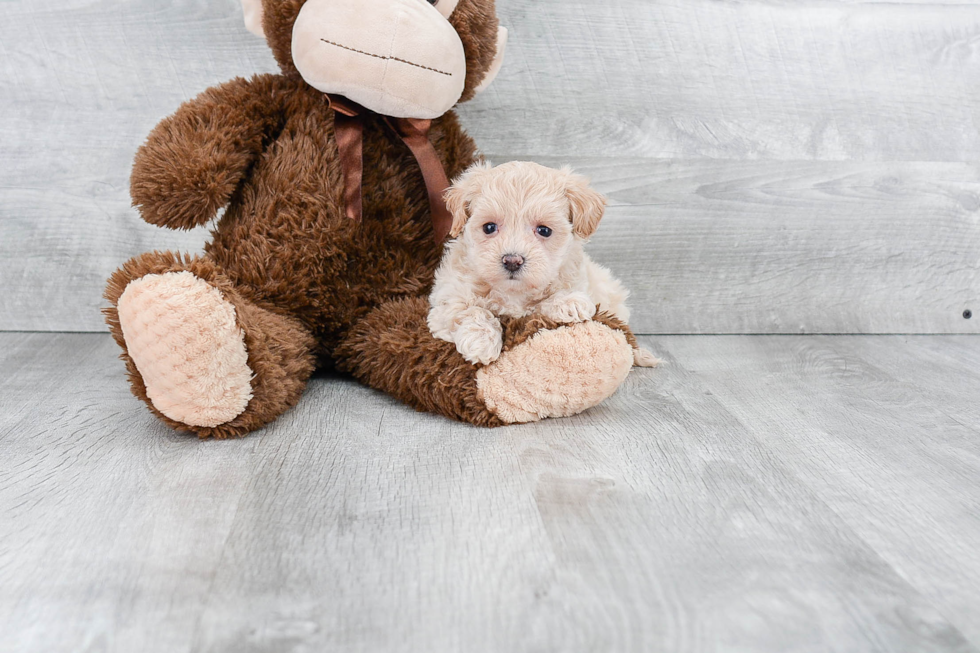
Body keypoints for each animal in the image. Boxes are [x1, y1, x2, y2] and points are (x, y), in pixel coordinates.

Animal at [428, 160, 660, 366]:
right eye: (489, 227)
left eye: (544, 230)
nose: (512, 261)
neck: (513, 293)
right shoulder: (446, 301)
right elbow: (470, 310)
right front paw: (481, 341)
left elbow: (544, 303)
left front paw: (569, 303)